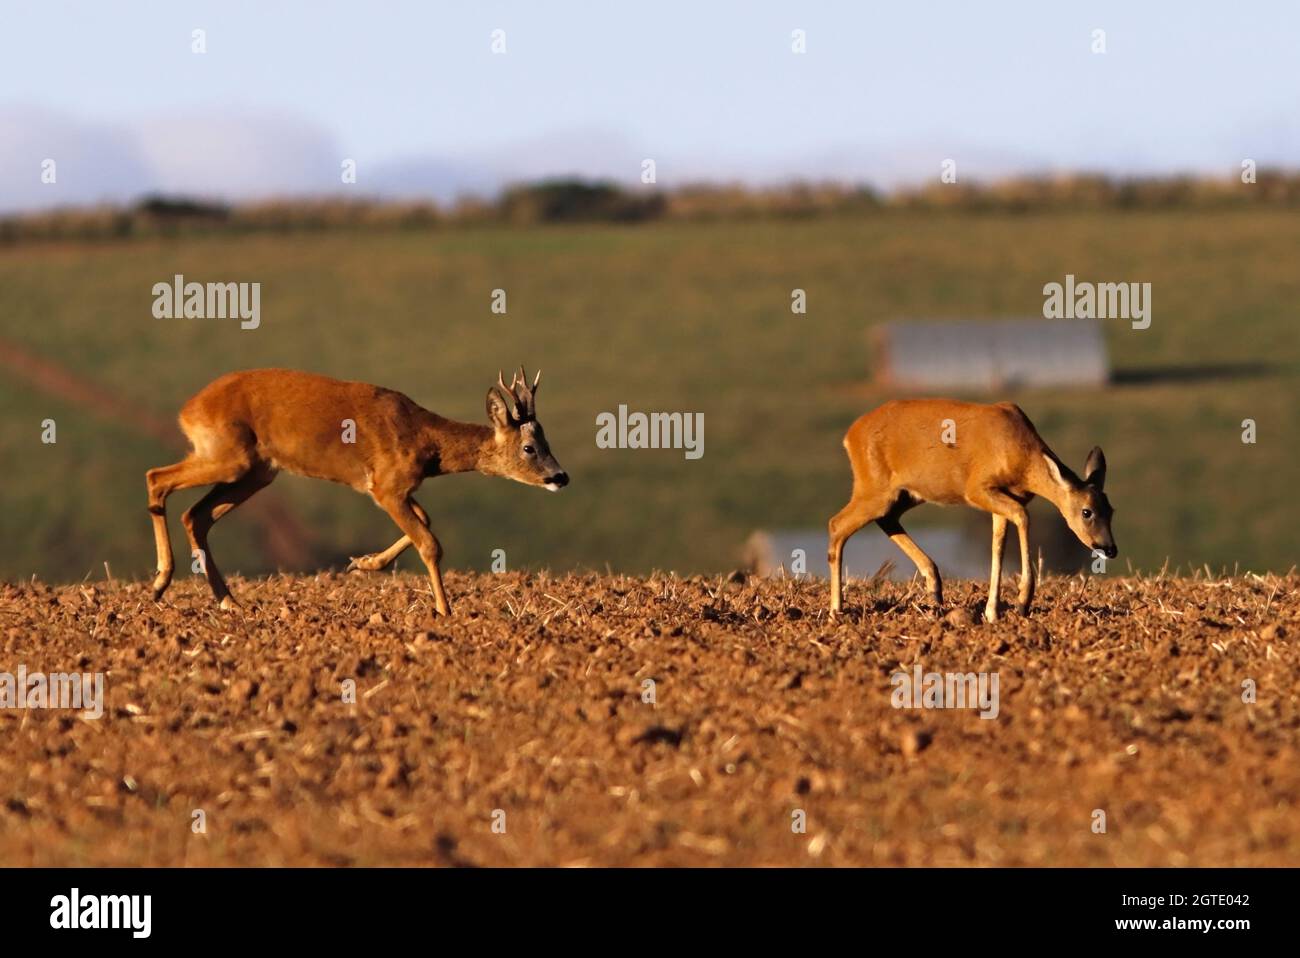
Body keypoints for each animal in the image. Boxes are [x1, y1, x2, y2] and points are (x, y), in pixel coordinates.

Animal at [146, 366, 567, 616]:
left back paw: (228, 601)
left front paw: (363, 563)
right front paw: (445, 612)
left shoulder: (394, 487)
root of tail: (188, 410)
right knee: (156, 478)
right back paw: (161, 583)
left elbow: (425, 520)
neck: (424, 440)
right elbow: (430, 542)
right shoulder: (387, 486)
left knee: (195, 515)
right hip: (228, 456)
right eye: (529, 448)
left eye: (547, 440)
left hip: (256, 471)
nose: (560, 476)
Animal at [828, 399, 1116, 622]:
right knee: (837, 524)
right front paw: (1023, 601)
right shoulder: (978, 488)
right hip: (873, 488)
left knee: (886, 519)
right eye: (1087, 511)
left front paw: (992, 613)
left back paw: (935, 588)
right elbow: (1022, 517)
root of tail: (850, 435)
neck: (1022, 456)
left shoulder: (1003, 500)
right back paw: (836, 611)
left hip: (905, 493)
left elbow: (998, 547)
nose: (1110, 548)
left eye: (1111, 510)